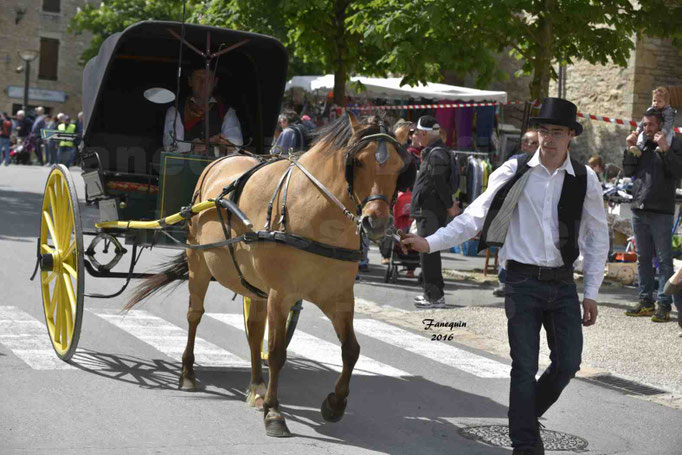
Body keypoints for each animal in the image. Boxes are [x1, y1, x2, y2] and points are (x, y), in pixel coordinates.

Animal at [127, 113, 414, 438]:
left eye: (399, 167)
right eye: (360, 162)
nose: (375, 223)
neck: (315, 212)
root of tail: (222, 160)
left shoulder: (338, 297)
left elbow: (351, 350)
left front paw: (335, 404)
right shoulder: (281, 294)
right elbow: (276, 353)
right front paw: (274, 413)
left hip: (255, 288)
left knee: (254, 332)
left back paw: (257, 387)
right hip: (198, 264)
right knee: (194, 315)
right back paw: (188, 373)